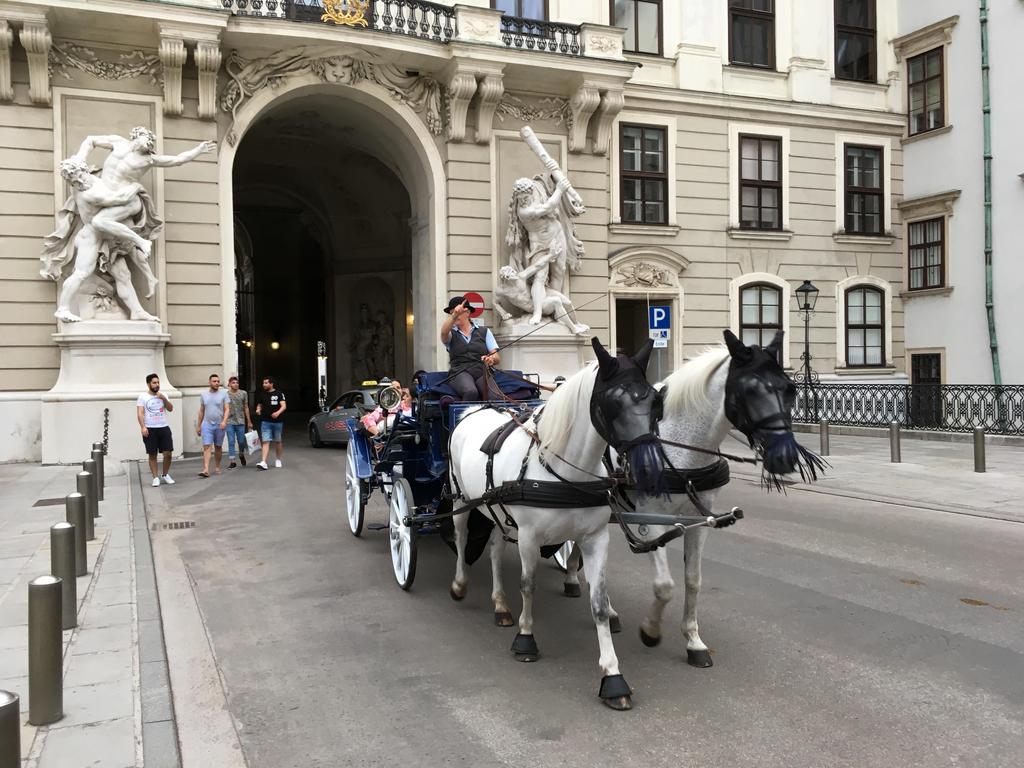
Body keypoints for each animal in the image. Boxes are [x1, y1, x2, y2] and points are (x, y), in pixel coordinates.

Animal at [448, 339, 663, 712]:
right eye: (611, 403)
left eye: (653, 401)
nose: (648, 469)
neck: (563, 468)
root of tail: (472, 409)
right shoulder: (529, 537)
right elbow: (528, 585)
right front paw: (525, 639)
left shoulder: (595, 538)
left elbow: (598, 603)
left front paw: (613, 676)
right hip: (461, 500)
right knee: (461, 539)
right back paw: (460, 584)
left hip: (495, 508)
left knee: (494, 551)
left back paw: (500, 603)